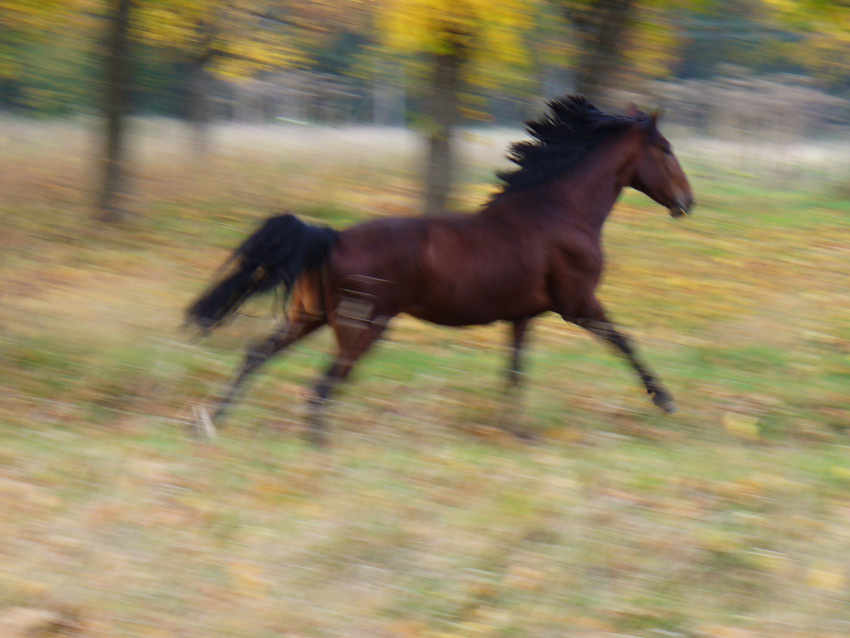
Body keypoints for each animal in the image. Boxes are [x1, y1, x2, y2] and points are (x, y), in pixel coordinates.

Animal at [186, 95, 695, 444]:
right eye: (666, 149)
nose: (687, 202)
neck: (562, 211)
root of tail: (331, 237)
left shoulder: (522, 316)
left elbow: (514, 372)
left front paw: (514, 428)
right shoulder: (579, 304)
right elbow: (624, 342)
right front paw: (666, 400)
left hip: (309, 318)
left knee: (257, 355)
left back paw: (213, 422)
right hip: (362, 328)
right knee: (322, 385)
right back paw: (315, 444)